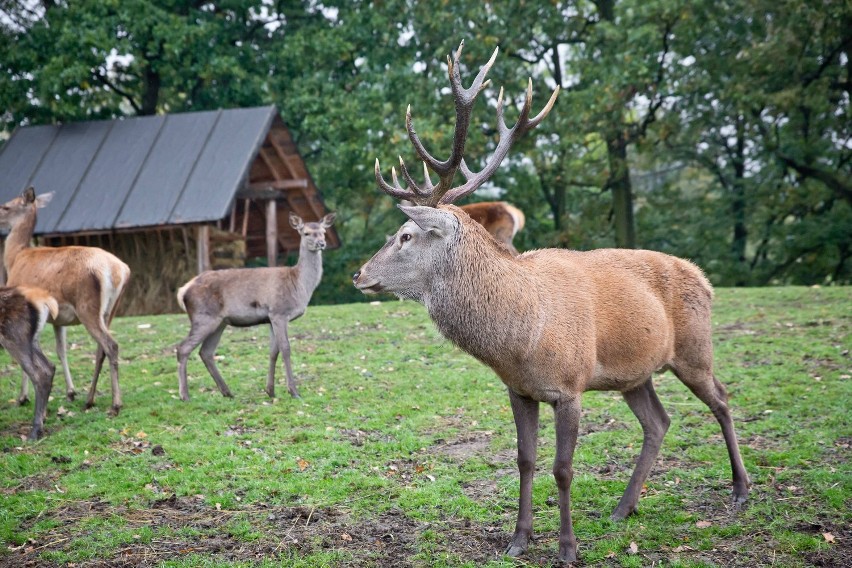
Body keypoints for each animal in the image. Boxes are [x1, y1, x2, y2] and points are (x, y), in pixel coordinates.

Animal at [0, 189, 131, 414]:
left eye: (6, 207)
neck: (15, 258)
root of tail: (118, 270)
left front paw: (22, 397)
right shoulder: (58, 319)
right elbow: (61, 350)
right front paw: (71, 392)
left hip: (87, 306)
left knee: (111, 345)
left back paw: (115, 404)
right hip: (111, 310)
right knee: (101, 349)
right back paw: (89, 399)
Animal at [0, 284, 57, 440]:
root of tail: (43, 298)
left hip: (14, 337)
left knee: (39, 374)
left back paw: (35, 430)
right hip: (32, 340)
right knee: (49, 367)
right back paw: (43, 418)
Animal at [176, 211, 336, 402]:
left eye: (323, 232)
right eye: (306, 233)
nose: (322, 243)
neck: (299, 284)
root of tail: (183, 291)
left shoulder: (270, 318)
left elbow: (273, 352)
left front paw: (270, 390)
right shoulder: (279, 312)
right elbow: (286, 348)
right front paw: (294, 391)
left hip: (219, 322)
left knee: (206, 352)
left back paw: (227, 392)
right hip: (203, 316)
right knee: (183, 348)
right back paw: (185, 395)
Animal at [350, 40, 748, 564]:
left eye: (405, 235)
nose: (358, 274)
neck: (520, 340)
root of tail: (704, 278)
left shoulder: (571, 386)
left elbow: (562, 468)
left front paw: (567, 547)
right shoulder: (518, 390)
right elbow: (524, 460)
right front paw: (518, 539)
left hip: (694, 349)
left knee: (721, 399)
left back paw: (740, 489)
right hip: (634, 373)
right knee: (659, 422)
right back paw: (623, 508)